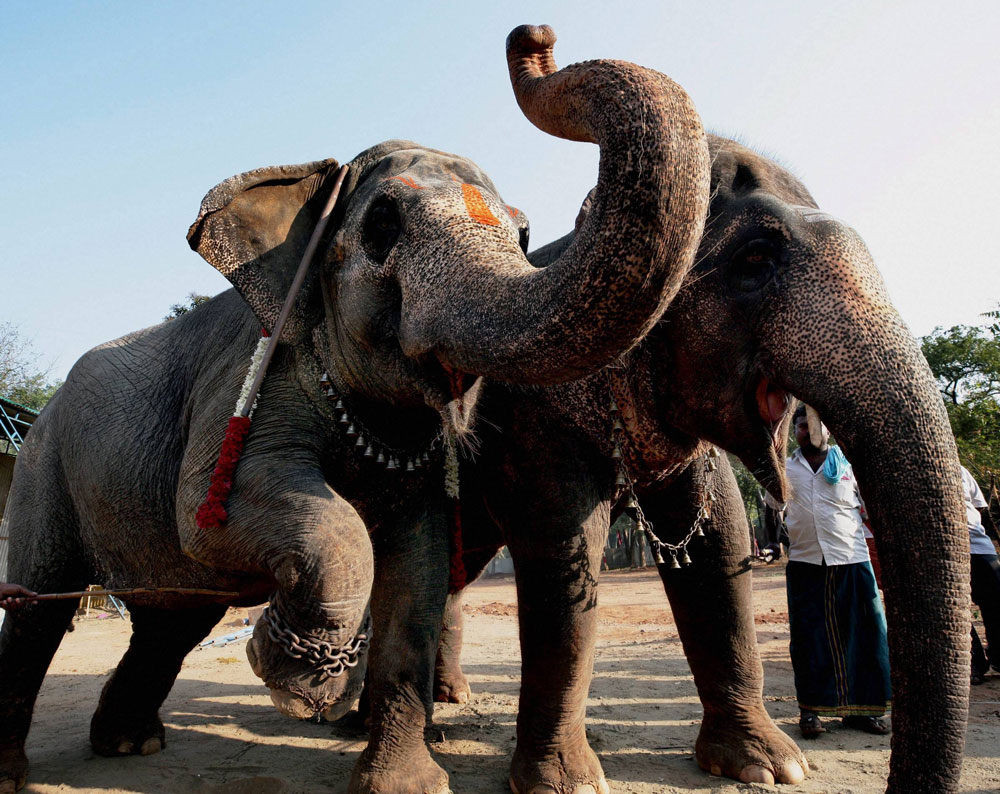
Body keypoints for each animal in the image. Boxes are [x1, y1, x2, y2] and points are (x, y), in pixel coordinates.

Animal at [0, 25, 711, 794]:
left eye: (523, 236)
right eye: (382, 224)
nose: (534, 35)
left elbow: (419, 567)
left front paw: (400, 779)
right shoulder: (249, 371)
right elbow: (219, 512)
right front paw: (291, 676)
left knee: (175, 615)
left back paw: (129, 744)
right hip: (40, 465)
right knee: (38, 605)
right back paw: (25, 767)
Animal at [432, 133, 969, 794]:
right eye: (755, 260)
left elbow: (721, 540)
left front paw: (771, 766)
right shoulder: (532, 415)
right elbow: (563, 554)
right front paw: (567, 784)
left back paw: (447, 698)